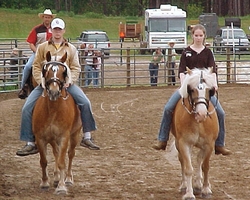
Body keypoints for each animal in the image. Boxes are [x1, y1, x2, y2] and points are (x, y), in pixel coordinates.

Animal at [31, 50, 81, 195]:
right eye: (46, 70)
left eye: (63, 72)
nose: (53, 92)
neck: (53, 110)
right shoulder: (40, 138)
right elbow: (44, 161)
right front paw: (44, 182)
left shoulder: (64, 137)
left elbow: (62, 161)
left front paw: (61, 186)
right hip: (52, 139)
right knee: (56, 153)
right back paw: (57, 177)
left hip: (75, 135)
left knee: (70, 154)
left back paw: (68, 178)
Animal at [172, 67, 219, 200]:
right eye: (192, 90)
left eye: (209, 90)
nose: (201, 114)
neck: (198, 123)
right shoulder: (184, 143)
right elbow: (188, 168)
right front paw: (189, 193)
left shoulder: (209, 145)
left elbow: (205, 166)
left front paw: (206, 189)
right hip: (178, 143)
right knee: (183, 161)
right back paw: (184, 186)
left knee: (199, 159)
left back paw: (198, 185)